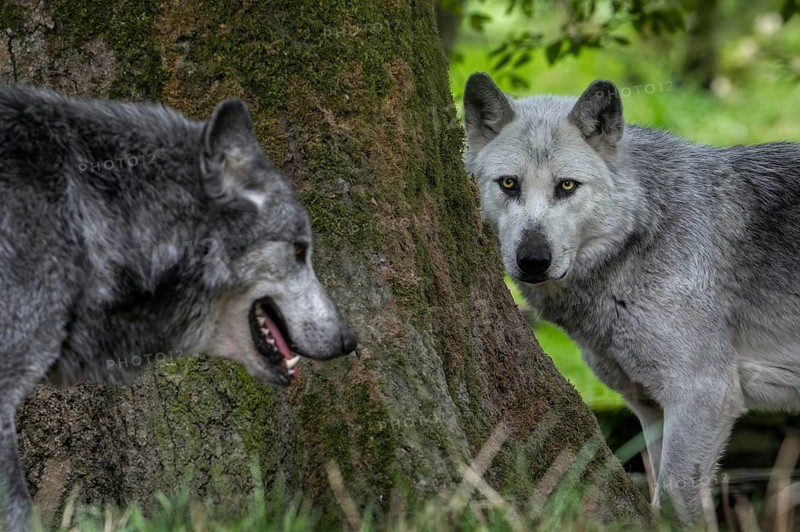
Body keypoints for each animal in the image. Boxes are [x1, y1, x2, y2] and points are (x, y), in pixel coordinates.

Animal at [464, 72, 800, 523]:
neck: (645, 232)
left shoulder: (703, 395)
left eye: (566, 186)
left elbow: (674, 502)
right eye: (508, 184)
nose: (533, 261)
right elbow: (658, 495)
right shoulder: (650, 407)